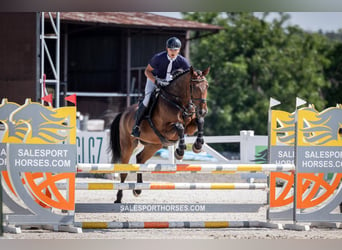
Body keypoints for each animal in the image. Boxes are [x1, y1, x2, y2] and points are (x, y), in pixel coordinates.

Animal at [109, 66, 210, 203]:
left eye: (207, 86)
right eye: (194, 87)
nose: (203, 111)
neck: (178, 103)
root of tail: (124, 113)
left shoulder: (190, 127)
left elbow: (199, 121)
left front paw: (197, 146)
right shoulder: (165, 129)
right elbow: (179, 127)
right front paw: (180, 152)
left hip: (154, 145)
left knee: (140, 159)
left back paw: (138, 189)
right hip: (128, 145)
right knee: (124, 171)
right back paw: (119, 198)